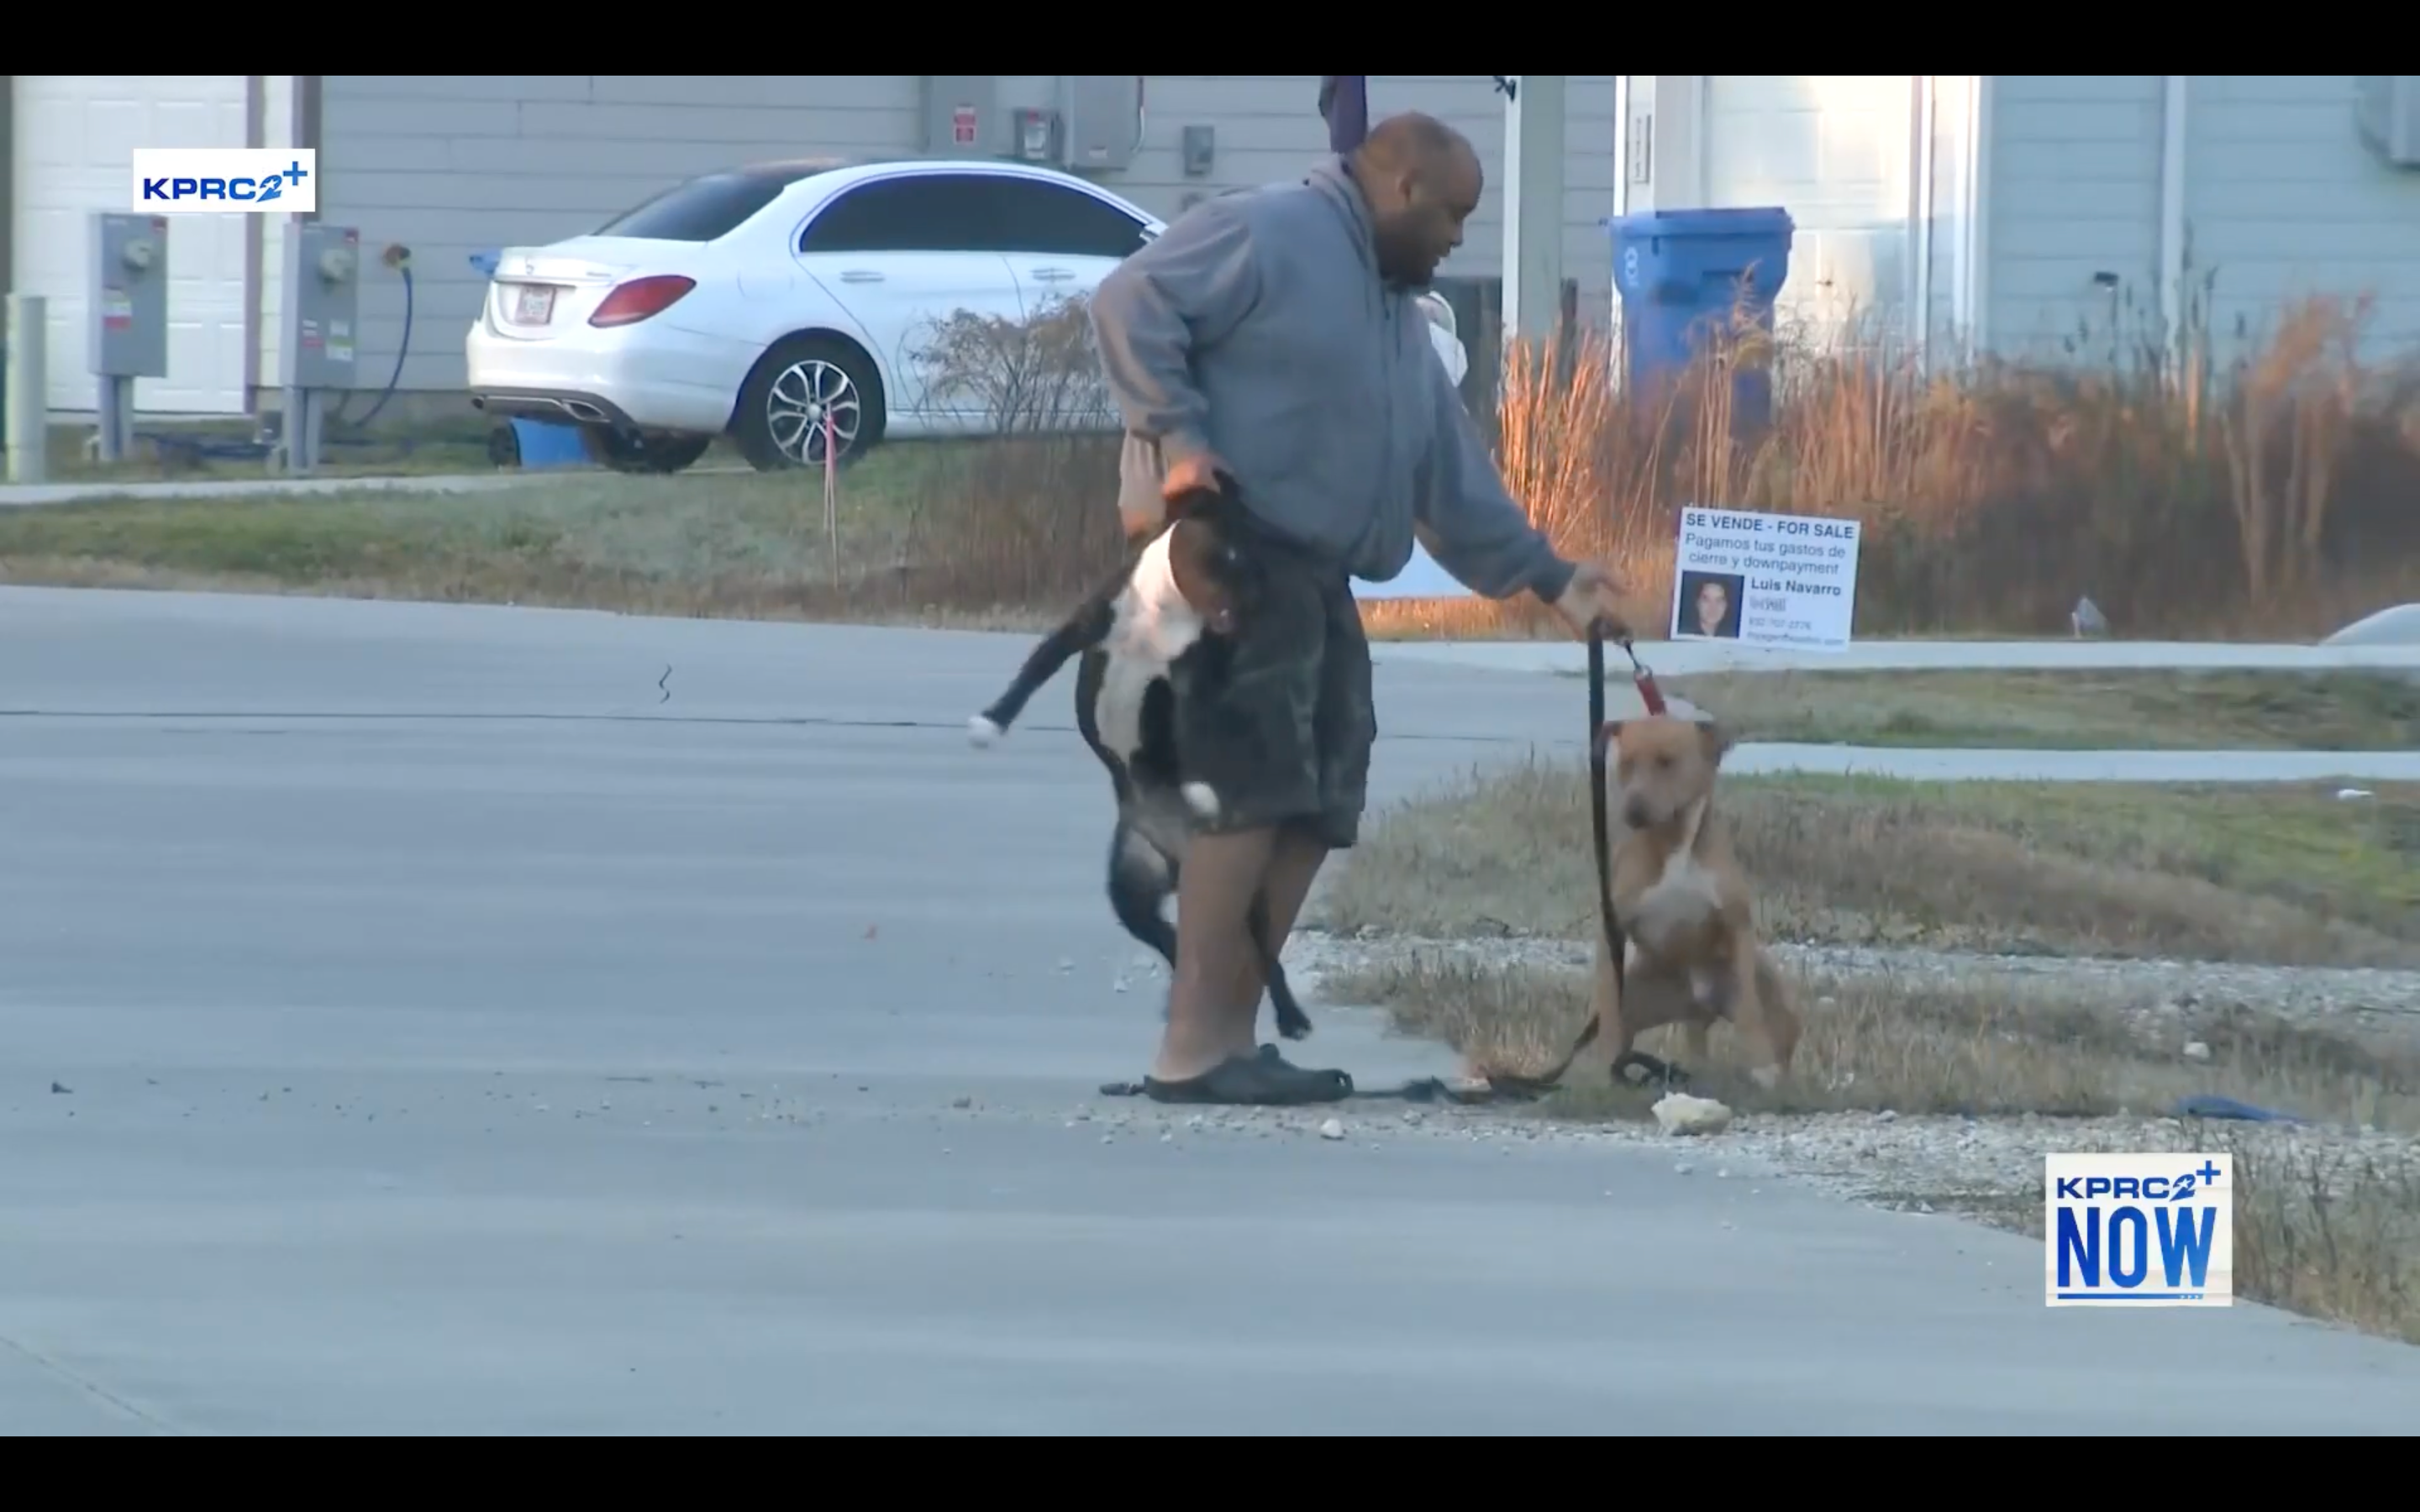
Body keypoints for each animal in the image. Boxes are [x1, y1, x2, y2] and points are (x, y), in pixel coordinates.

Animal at [963, 488, 1316, 1045]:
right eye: (1234, 555)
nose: (1262, 599)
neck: (1166, 607)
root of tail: (1178, 857)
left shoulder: (1192, 676)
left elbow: (1200, 722)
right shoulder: (1082, 628)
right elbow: (1032, 672)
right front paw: (991, 722)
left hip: (1232, 884)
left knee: (1260, 944)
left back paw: (1291, 1016)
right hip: (1132, 884)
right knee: (1169, 936)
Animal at [1587, 716, 1800, 1084]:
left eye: (1667, 761)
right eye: (1626, 763)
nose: (1634, 809)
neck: (1674, 841)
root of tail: (1696, 1006)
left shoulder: (1737, 926)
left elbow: (1750, 1010)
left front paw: (1760, 1064)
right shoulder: (1613, 932)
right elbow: (1610, 1004)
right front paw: (1603, 1067)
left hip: (1779, 1002)